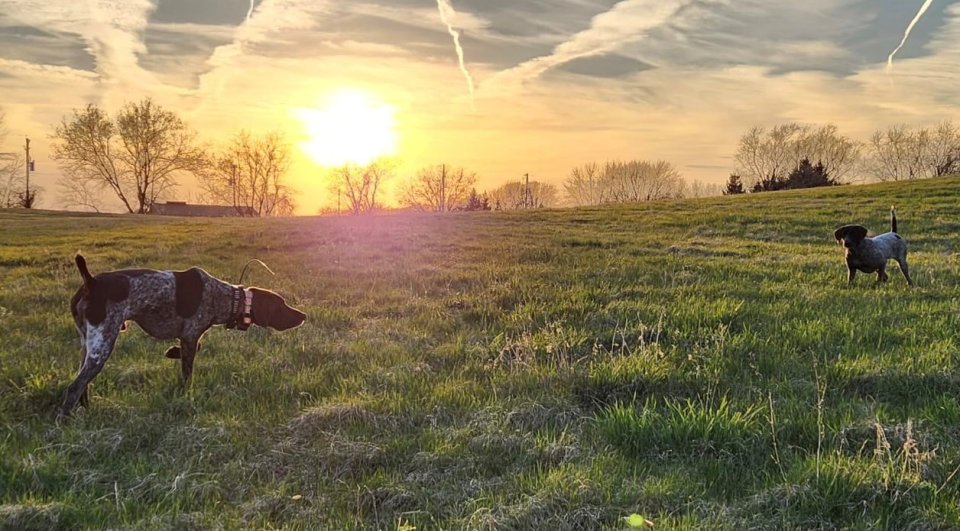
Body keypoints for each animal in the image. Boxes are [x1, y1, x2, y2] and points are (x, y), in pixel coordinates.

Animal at [60, 256, 306, 418]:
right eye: (282, 305)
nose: (303, 315)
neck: (226, 298)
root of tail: (91, 282)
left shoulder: (188, 337)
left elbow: (194, 349)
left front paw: (172, 352)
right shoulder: (190, 334)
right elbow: (188, 371)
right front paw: (187, 394)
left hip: (88, 344)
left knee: (82, 382)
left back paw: (86, 408)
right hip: (103, 344)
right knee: (75, 386)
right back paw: (66, 419)